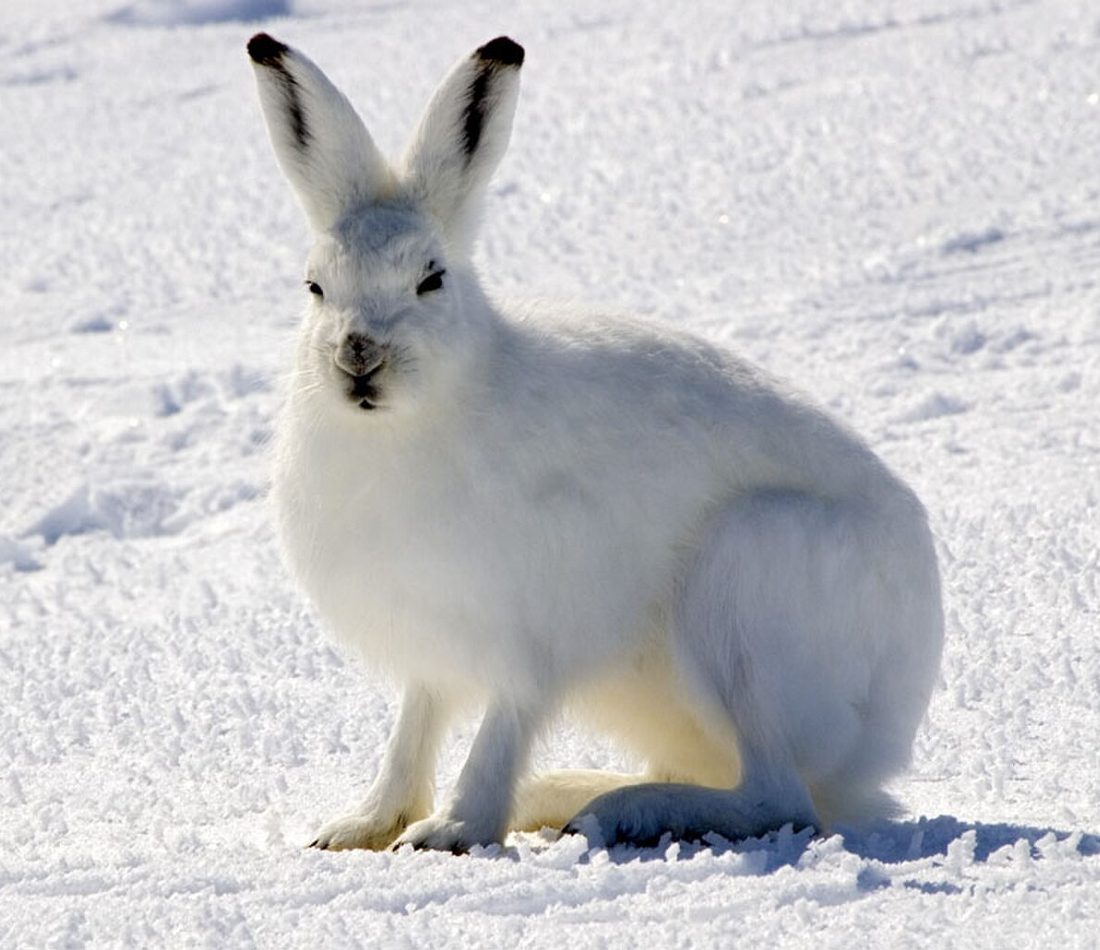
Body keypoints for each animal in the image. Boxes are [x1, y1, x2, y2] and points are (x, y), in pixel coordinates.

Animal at [248, 32, 944, 854]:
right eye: (315, 287)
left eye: (431, 279)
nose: (359, 356)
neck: (416, 419)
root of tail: (890, 728)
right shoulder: (433, 644)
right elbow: (414, 728)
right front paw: (361, 826)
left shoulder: (534, 633)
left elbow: (501, 727)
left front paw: (452, 828)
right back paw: (568, 796)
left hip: (746, 584)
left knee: (780, 797)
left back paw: (622, 812)